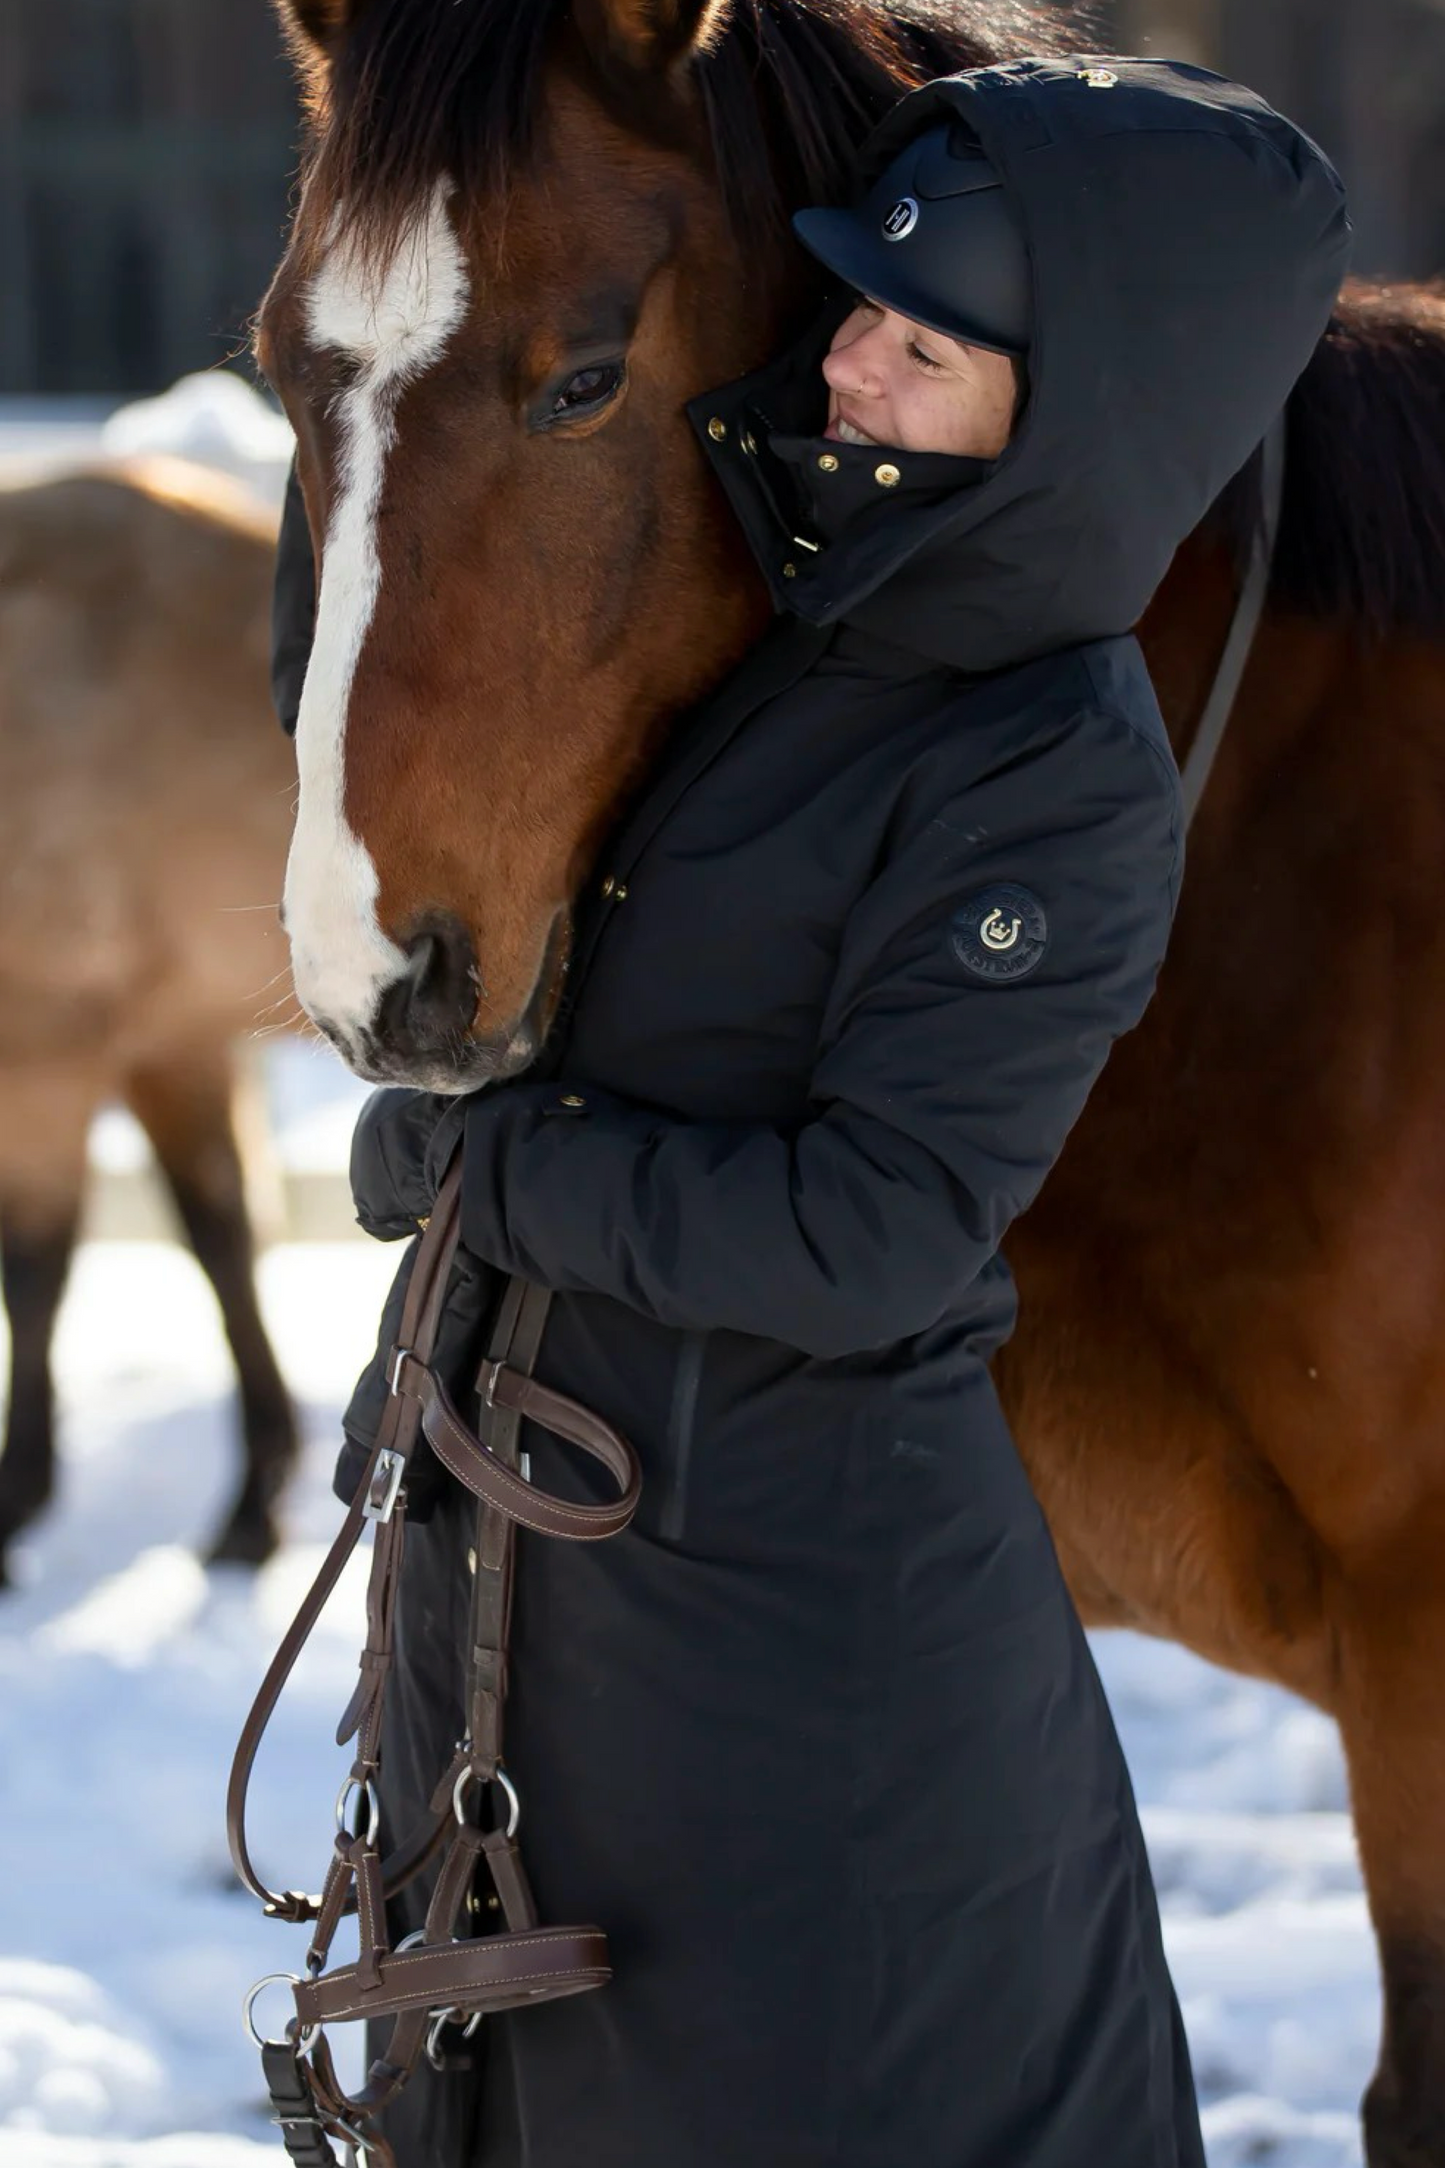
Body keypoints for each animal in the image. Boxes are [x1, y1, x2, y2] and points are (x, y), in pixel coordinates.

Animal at [0, 457, 303, 1578]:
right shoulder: (171, 1044)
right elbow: (225, 1237)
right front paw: (257, 1498)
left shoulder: (47, 1054)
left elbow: (36, 1270)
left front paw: (16, 1497)